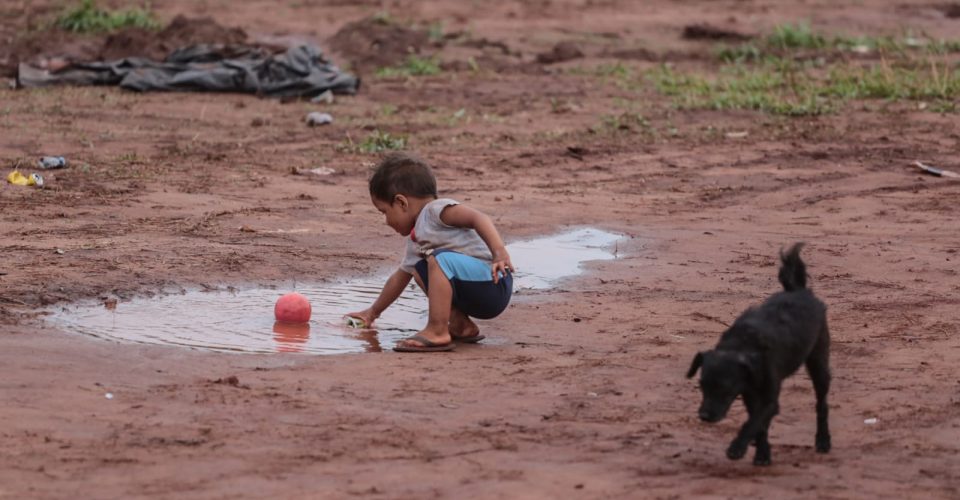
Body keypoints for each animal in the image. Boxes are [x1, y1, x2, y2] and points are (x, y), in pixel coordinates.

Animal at [688, 242, 828, 464]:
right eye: (701, 386)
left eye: (726, 388)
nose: (705, 416)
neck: (742, 345)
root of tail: (798, 291)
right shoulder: (749, 393)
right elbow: (758, 426)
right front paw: (762, 454)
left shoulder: (769, 400)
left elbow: (753, 422)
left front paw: (737, 447)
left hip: (819, 364)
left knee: (821, 404)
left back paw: (823, 441)